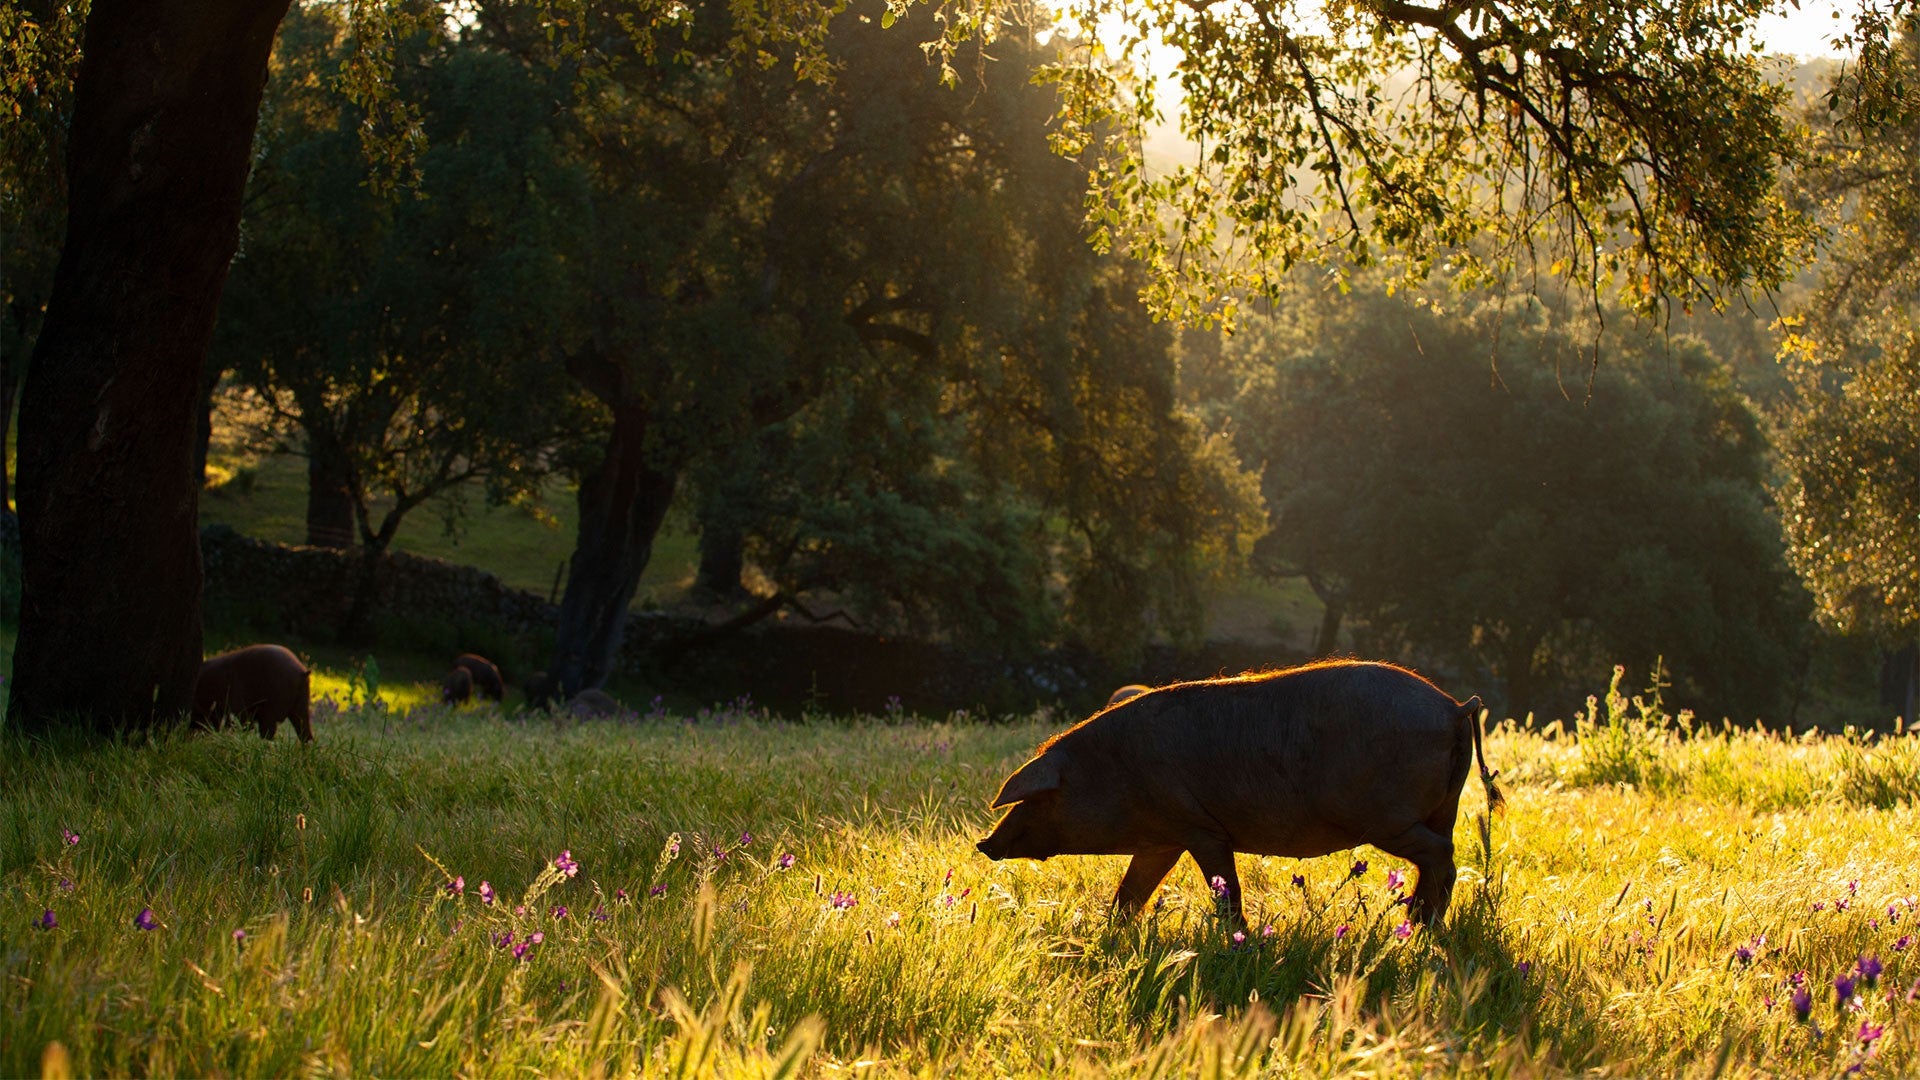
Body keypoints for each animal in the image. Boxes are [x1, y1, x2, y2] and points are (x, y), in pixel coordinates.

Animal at [975, 657, 1497, 926]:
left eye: (1038, 797)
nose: (983, 844)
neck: (1114, 771)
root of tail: (1454, 706)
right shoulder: (1163, 839)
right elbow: (1131, 892)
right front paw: (1112, 934)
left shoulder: (1200, 828)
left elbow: (1225, 889)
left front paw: (1237, 940)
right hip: (1444, 807)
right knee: (1443, 859)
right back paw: (1417, 925)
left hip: (1388, 818)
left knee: (1441, 855)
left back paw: (1417, 927)